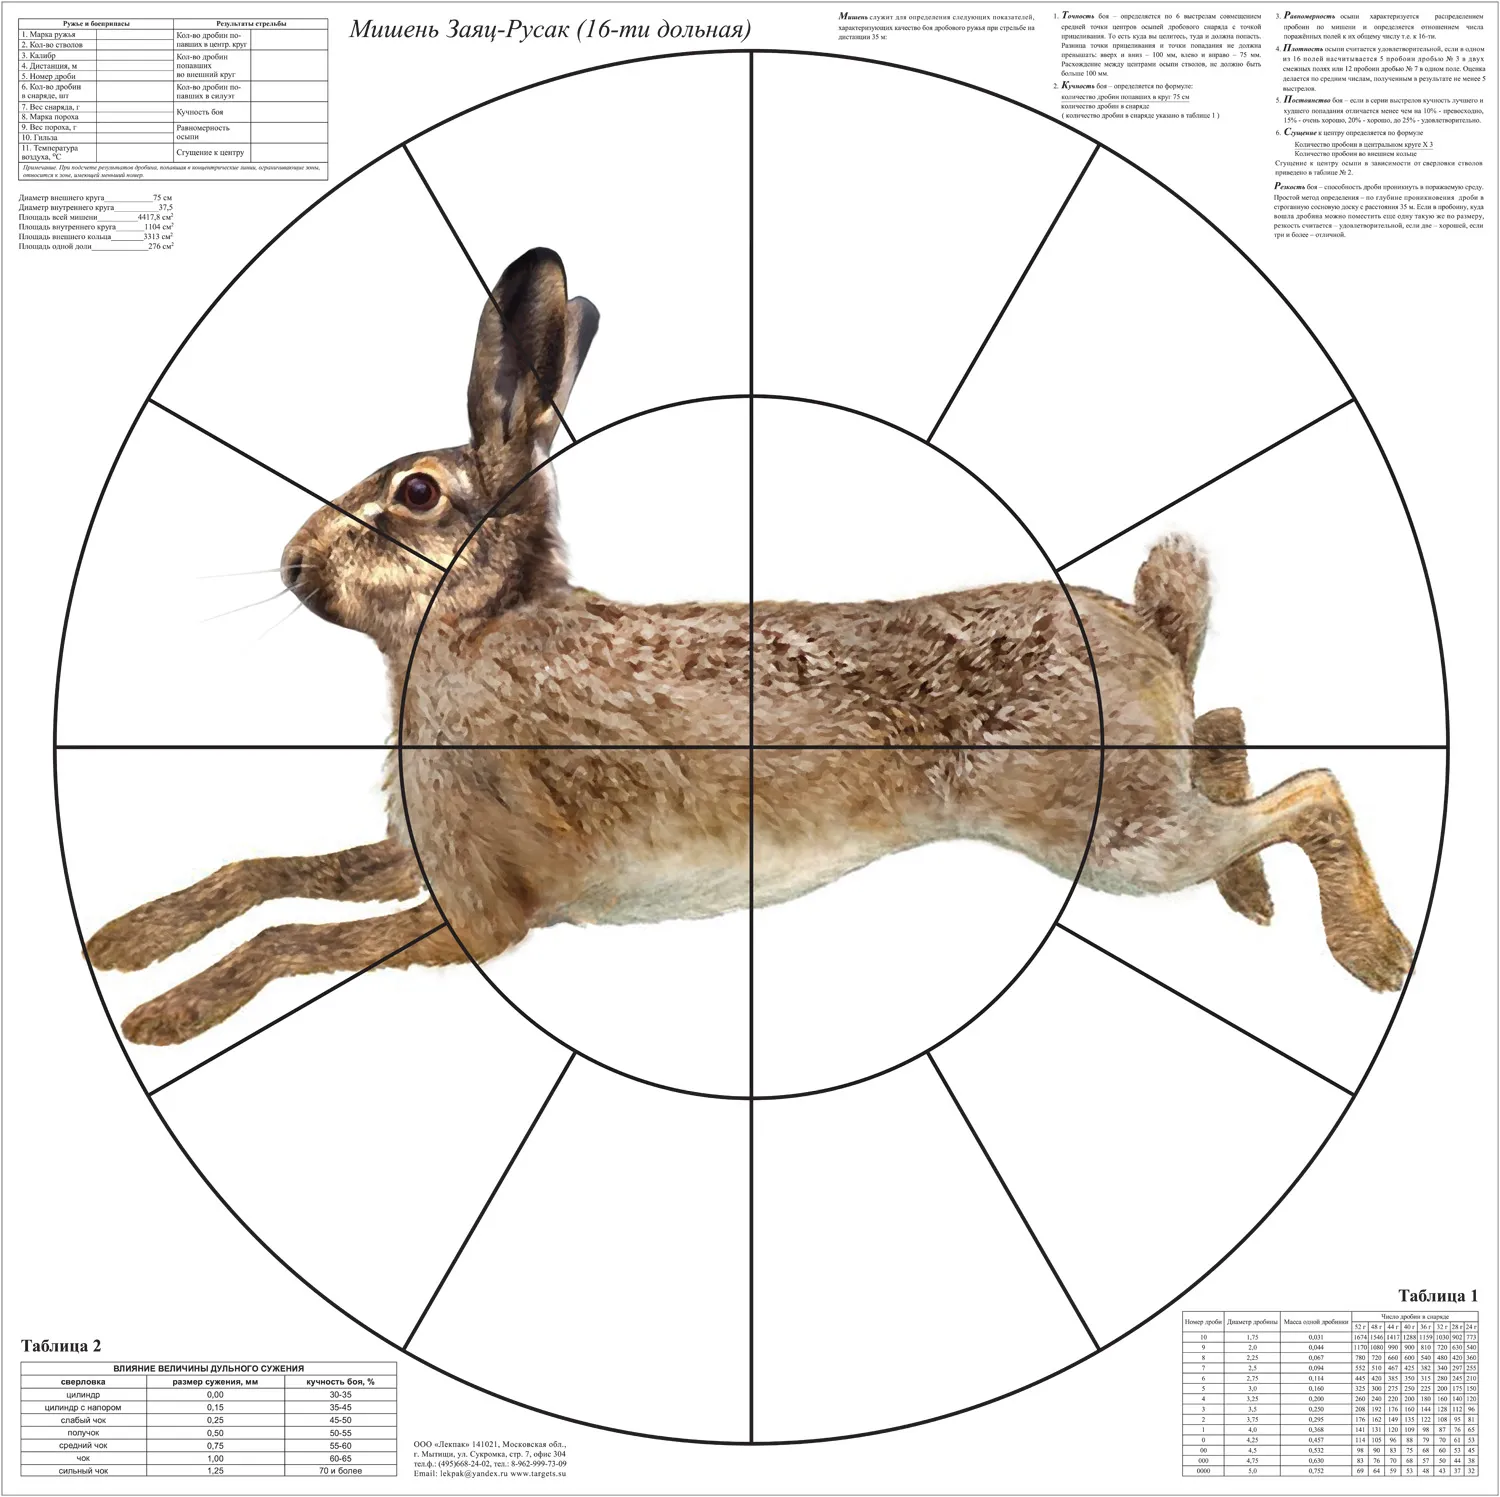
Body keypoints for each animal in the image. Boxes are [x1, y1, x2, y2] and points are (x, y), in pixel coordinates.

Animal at [86, 247, 1414, 1046]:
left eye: (414, 495)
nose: (293, 565)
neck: (476, 629)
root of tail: (1150, 623)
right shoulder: (418, 847)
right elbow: (259, 874)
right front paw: (122, 943)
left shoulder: (479, 909)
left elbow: (291, 934)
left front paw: (162, 1015)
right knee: (1230, 725)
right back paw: (1256, 902)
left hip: (1108, 835)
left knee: (1315, 788)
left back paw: (1376, 958)